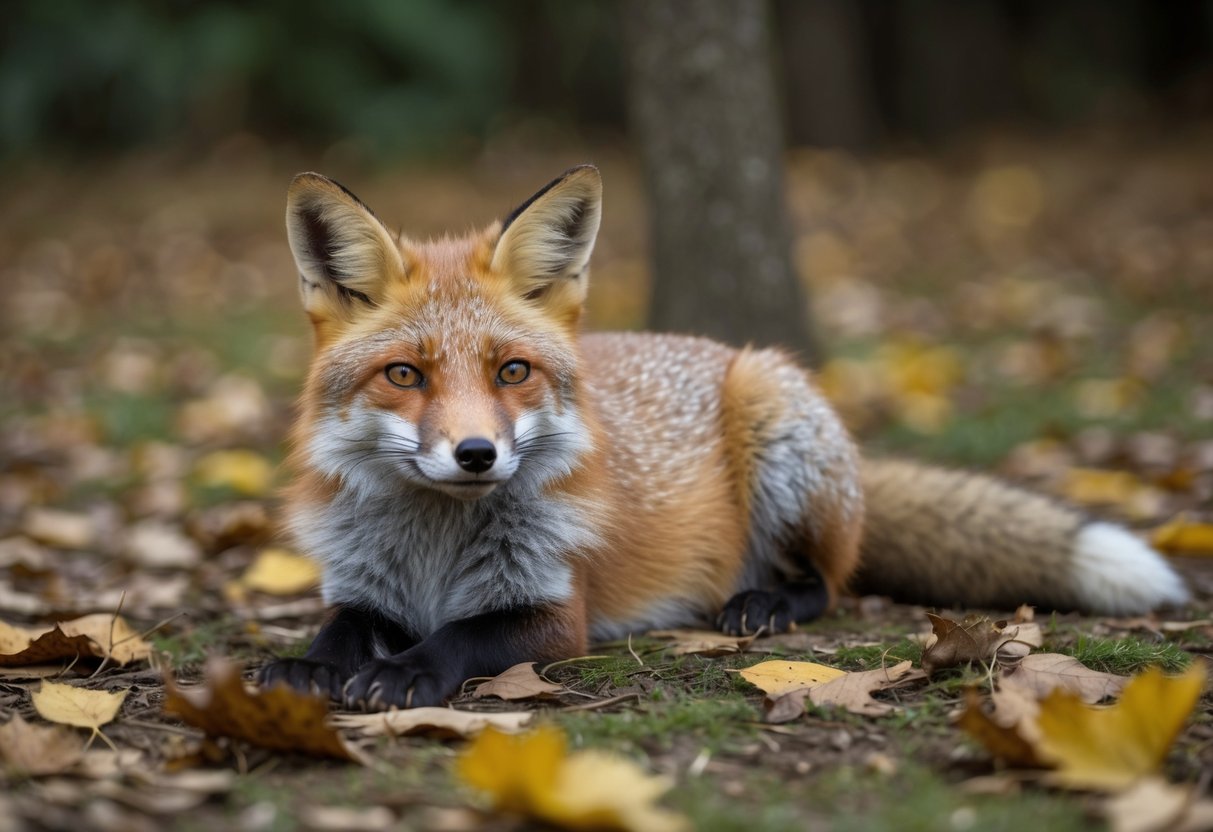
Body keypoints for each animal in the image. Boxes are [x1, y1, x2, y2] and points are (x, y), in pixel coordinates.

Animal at [259, 164, 1190, 710]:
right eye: (404, 376)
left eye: (511, 371)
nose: (476, 454)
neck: (433, 551)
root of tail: (714, 348)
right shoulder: (362, 587)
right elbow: (337, 628)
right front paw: (313, 667)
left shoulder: (555, 611)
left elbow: (458, 638)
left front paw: (405, 670)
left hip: (774, 415)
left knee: (831, 580)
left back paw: (762, 602)